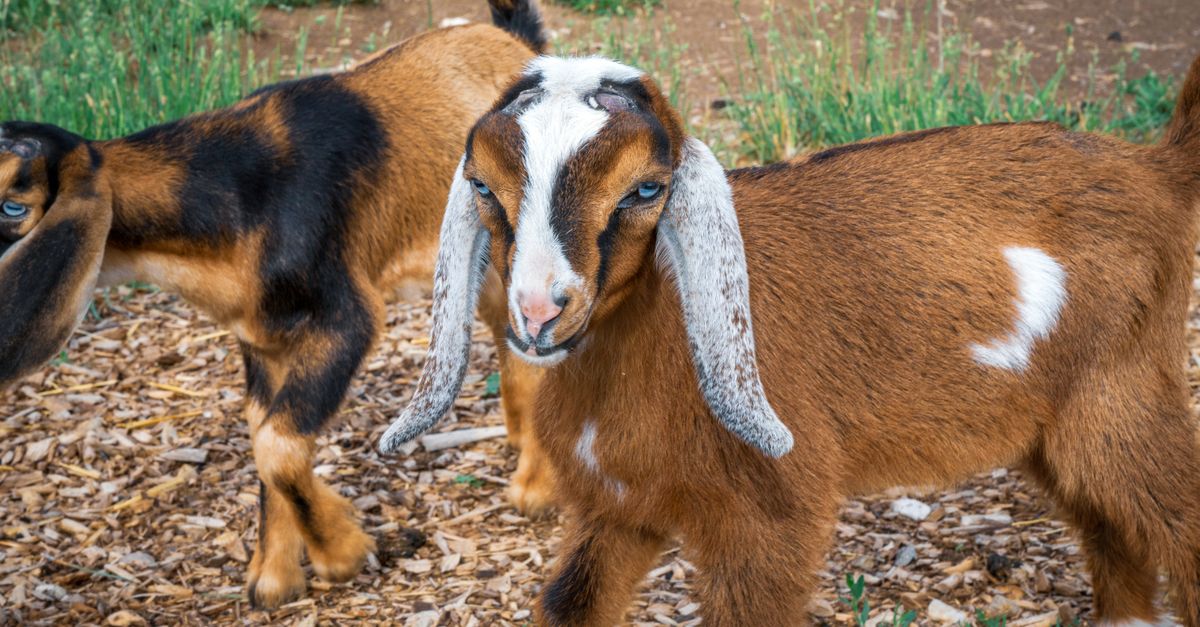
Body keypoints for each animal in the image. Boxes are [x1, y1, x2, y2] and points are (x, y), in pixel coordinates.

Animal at [0, 0, 554, 609]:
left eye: (12, 205)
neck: (237, 199)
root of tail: (520, 46)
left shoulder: (346, 318)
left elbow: (278, 445)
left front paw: (342, 552)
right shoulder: (263, 338)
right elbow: (265, 435)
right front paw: (275, 577)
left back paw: (534, 487)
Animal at [381, 53, 1200, 625]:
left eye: (646, 189)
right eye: (483, 187)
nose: (539, 312)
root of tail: (1154, 168)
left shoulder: (771, 519)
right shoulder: (615, 509)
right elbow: (567, 601)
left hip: (1119, 389)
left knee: (1180, 519)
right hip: (1053, 424)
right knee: (1111, 525)